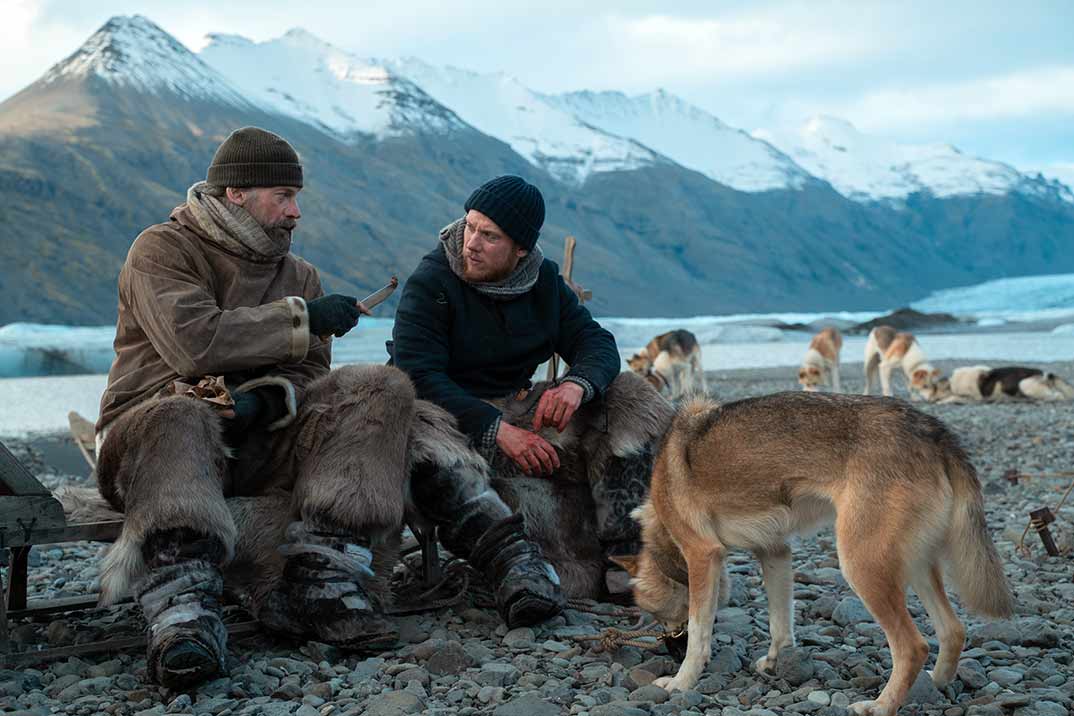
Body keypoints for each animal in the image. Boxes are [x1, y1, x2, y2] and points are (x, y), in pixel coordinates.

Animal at [614, 392, 1013, 716]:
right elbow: (780, 622)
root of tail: (934, 430)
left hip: (862, 566)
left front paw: (681, 682)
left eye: (660, 614)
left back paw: (881, 705)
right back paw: (937, 684)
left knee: (913, 646)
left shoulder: (703, 555)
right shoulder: (775, 551)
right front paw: (776, 662)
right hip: (914, 564)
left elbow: (700, 634)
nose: (669, 649)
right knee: (953, 630)